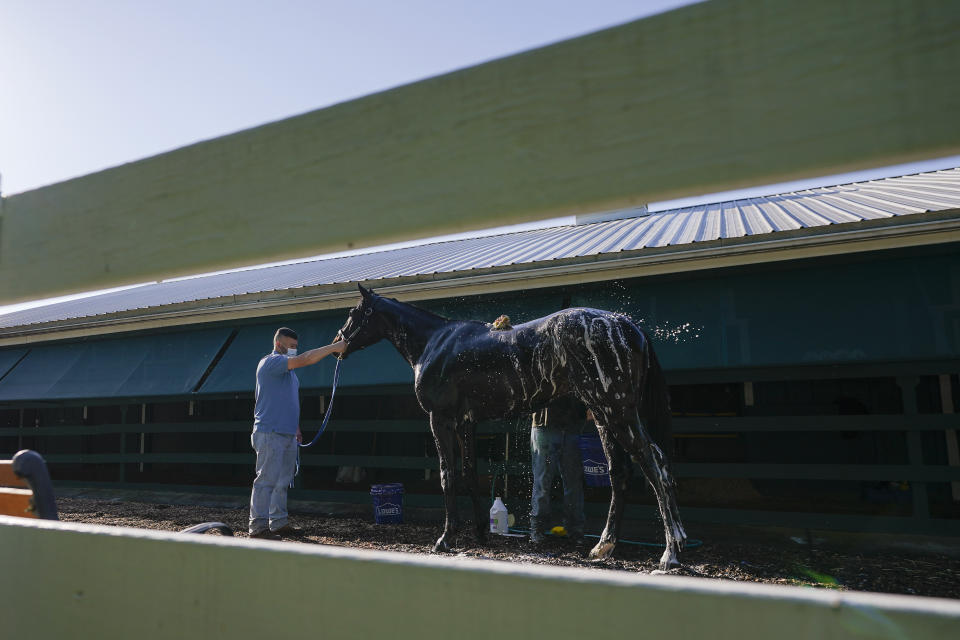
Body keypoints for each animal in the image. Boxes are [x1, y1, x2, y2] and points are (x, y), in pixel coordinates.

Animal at [336, 288, 684, 568]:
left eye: (354, 313)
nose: (338, 340)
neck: (434, 342)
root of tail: (627, 326)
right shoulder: (466, 424)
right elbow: (469, 475)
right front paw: (479, 534)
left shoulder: (441, 420)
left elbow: (448, 476)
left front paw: (445, 539)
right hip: (604, 415)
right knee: (622, 472)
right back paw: (605, 547)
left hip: (617, 412)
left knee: (655, 465)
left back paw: (670, 553)